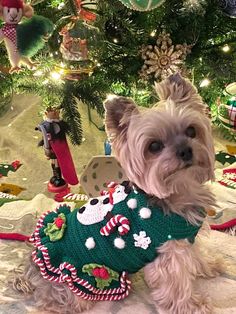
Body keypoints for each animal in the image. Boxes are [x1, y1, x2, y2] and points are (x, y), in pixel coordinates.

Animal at [18, 73, 221, 312]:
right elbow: (178, 283)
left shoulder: (186, 239)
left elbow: (196, 256)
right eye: (154, 146)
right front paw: (193, 305)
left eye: (191, 131)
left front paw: (210, 265)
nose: (185, 150)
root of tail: (31, 269)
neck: (179, 189)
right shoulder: (169, 253)